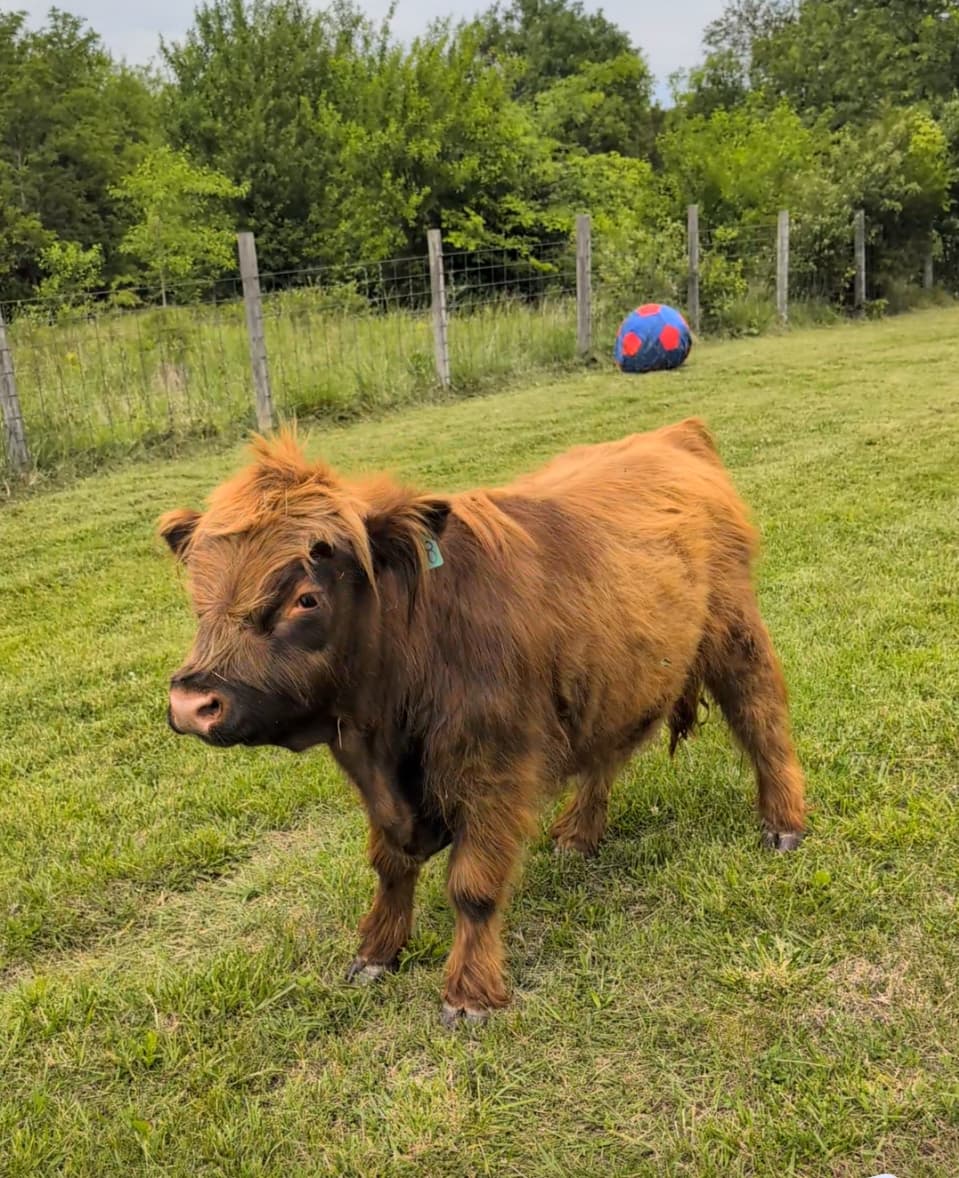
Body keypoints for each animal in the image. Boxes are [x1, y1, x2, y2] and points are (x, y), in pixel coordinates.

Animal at [159, 418, 806, 1026]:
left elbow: (473, 886)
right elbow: (390, 864)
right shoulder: (377, 780)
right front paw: (376, 952)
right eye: (199, 598)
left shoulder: (496, 766)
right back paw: (578, 834)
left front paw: (469, 993)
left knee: (762, 720)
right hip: (619, 673)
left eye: (306, 598)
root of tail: (672, 435)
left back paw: (783, 824)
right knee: (607, 755)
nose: (192, 703)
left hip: (735, 635)